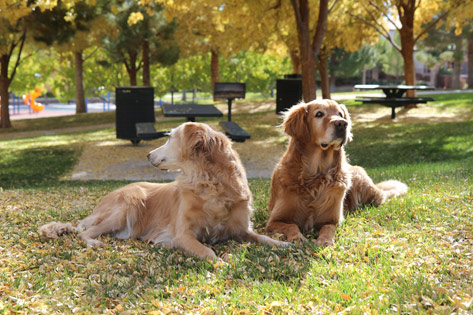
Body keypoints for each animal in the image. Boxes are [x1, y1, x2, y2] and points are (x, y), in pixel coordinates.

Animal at [39, 122, 284, 260]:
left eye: (169, 138)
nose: (147, 154)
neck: (208, 182)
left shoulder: (241, 229)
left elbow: (262, 237)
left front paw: (283, 244)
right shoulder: (182, 235)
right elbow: (207, 251)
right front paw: (221, 262)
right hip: (130, 202)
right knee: (83, 232)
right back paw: (95, 242)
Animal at [266, 100, 406, 246]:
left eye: (340, 114)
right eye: (319, 114)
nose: (342, 124)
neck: (316, 176)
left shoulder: (332, 220)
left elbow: (327, 229)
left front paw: (324, 241)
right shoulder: (273, 221)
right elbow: (291, 226)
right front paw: (296, 237)